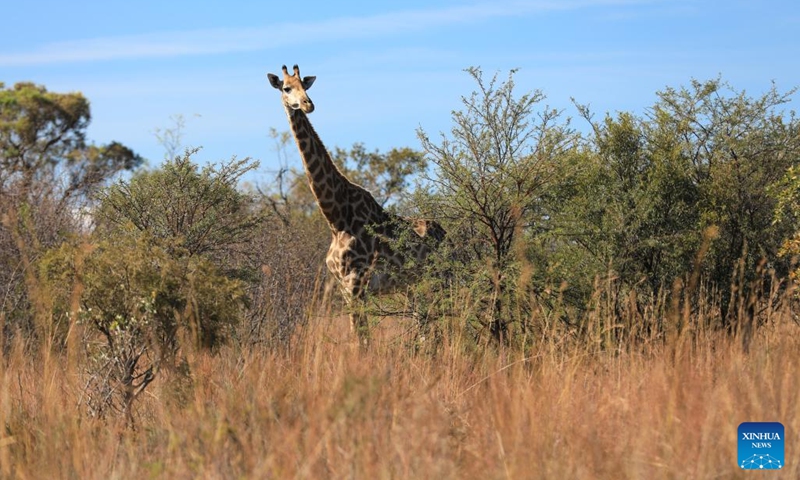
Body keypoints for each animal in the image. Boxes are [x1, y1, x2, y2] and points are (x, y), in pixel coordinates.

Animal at [267, 65, 445, 343]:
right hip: (415, 285)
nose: (307, 104)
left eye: (305, 86)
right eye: (286, 88)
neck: (336, 216)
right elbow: (359, 338)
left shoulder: (357, 282)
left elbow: (360, 340)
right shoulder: (344, 286)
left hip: (439, 279)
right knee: (427, 330)